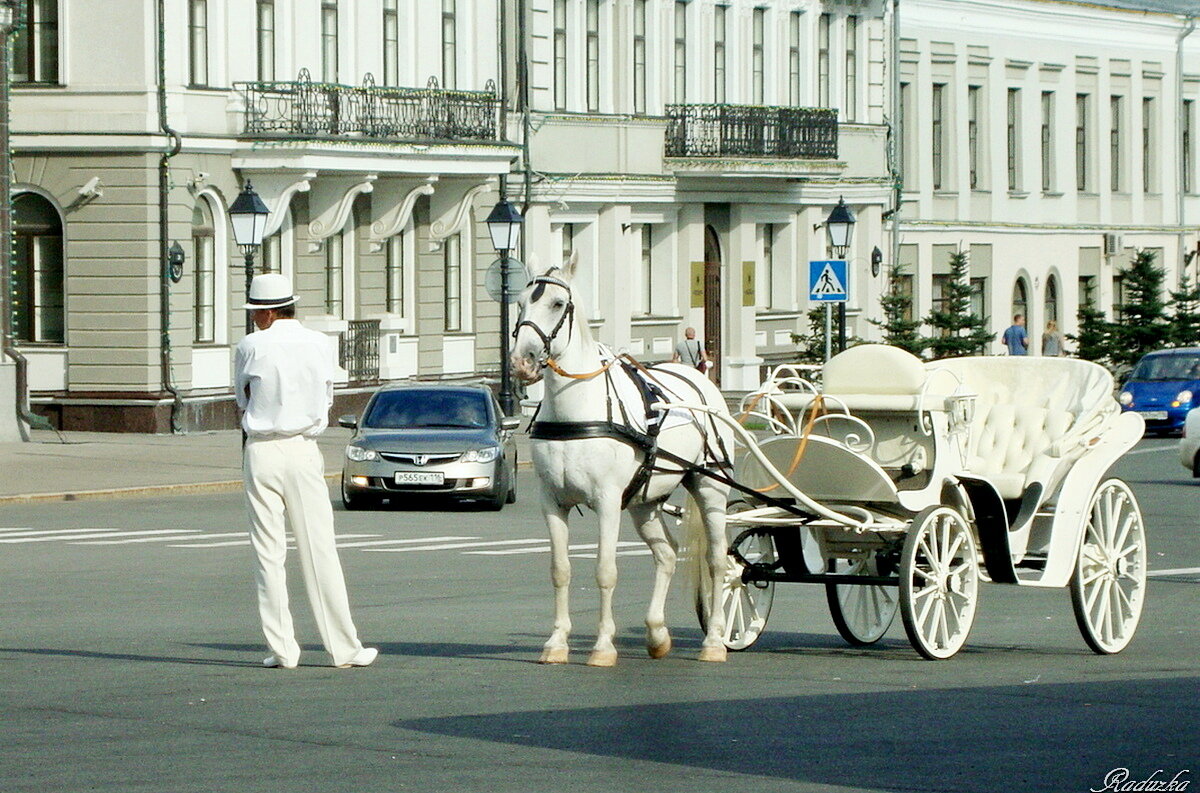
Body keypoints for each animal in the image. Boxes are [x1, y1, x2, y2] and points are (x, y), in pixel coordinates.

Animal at [506, 253, 729, 662]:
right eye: (520, 303)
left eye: (557, 304)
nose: (521, 363)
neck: (577, 412)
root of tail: (698, 377)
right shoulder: (551, 502)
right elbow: (560, 570)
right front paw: (556, 642)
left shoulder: (608, 502)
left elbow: (605, 571)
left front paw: (603, 646)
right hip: (646, 501)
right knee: (666, 554)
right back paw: (657, 634)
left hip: (710, 488)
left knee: (718, 560)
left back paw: (714, 641)